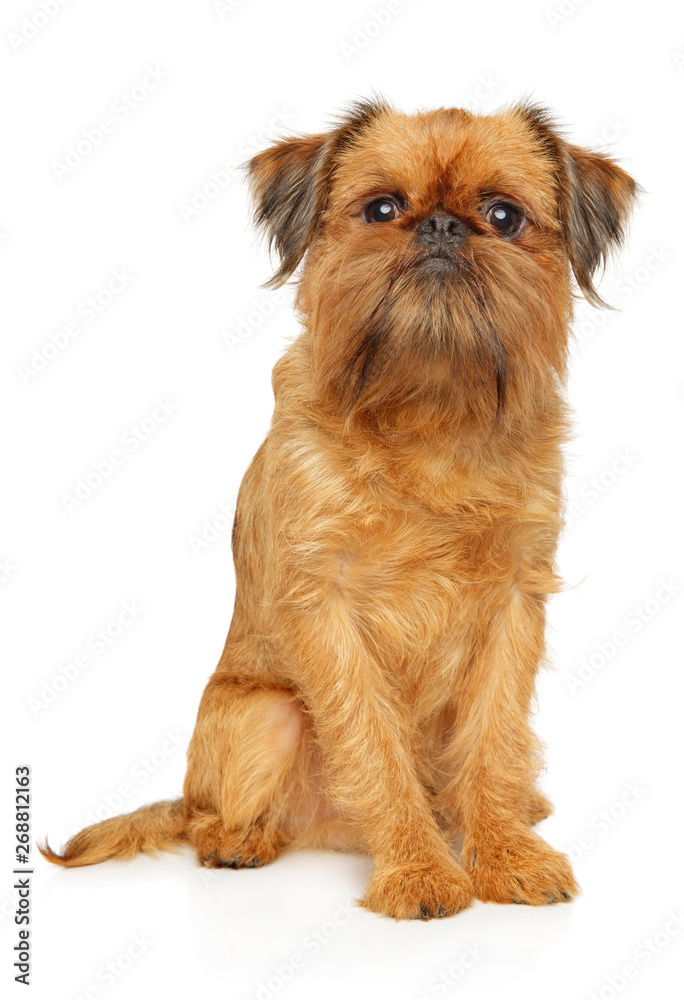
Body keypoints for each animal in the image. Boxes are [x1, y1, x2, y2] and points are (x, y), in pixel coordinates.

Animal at [40, 101, 640, 920]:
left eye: (503, 216)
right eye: (382, 209)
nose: (442, 226)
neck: (429, 410)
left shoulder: (515, 603)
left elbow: (494, 739)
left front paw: (506, 854)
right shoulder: (324, 607)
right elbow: (372, 741)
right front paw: (418, 871)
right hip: (267, 714)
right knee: (203, 817)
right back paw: (240, 840)